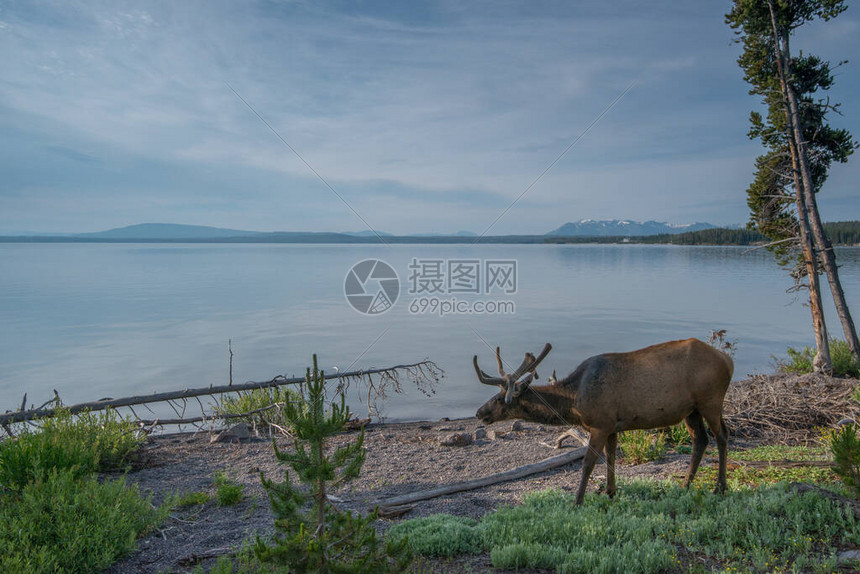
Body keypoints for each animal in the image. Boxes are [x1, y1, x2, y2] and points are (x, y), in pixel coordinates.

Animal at [478, 340, 732, 506]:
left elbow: (588, 463)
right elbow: (611, 457)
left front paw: (577, 502)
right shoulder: (612, 426)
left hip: (711, 400)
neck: (574, 402)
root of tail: (728, 361)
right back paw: (686, 485)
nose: (480, 412)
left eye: (500, 398)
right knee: (701, 439)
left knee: (722, 435)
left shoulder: (600, 424)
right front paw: (610, 491)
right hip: (691, 410)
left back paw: (720, 487)